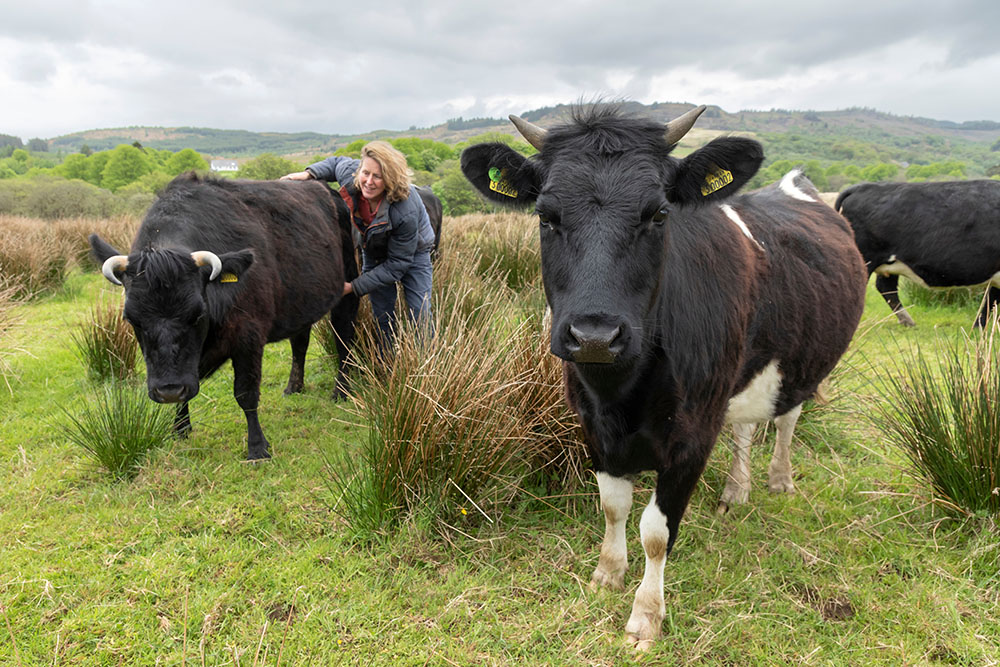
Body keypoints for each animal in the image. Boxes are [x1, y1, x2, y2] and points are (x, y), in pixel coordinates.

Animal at [89, 172, 358, 461]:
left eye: (197, 314)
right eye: (132, 320)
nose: (168, 391)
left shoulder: (248, 335)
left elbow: (246, 393)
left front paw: (257, 448)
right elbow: (188, 384)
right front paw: (181, 428)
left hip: (348, 289)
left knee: (344, 339)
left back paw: (341, 390)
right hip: (300, 300)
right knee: (300, 342)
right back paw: (293, 387)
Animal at [461, 105, 867, 649]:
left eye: (658, 214)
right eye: (546, 216)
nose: (594, 335)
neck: (622, 396)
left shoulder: (693, 433)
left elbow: (656, 531)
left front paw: (645, 616)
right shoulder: (592, 424)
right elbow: (613, 506)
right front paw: (607, 574)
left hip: (801, 363)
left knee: (785, 419)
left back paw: (779, 479)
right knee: (745, 425)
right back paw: (736, 491)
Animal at [835, 179, 1000, 327]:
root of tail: (861, 187)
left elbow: (991, 300)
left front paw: (979, 327)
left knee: (886, 287)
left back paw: (908, 322)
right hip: (864, 258)